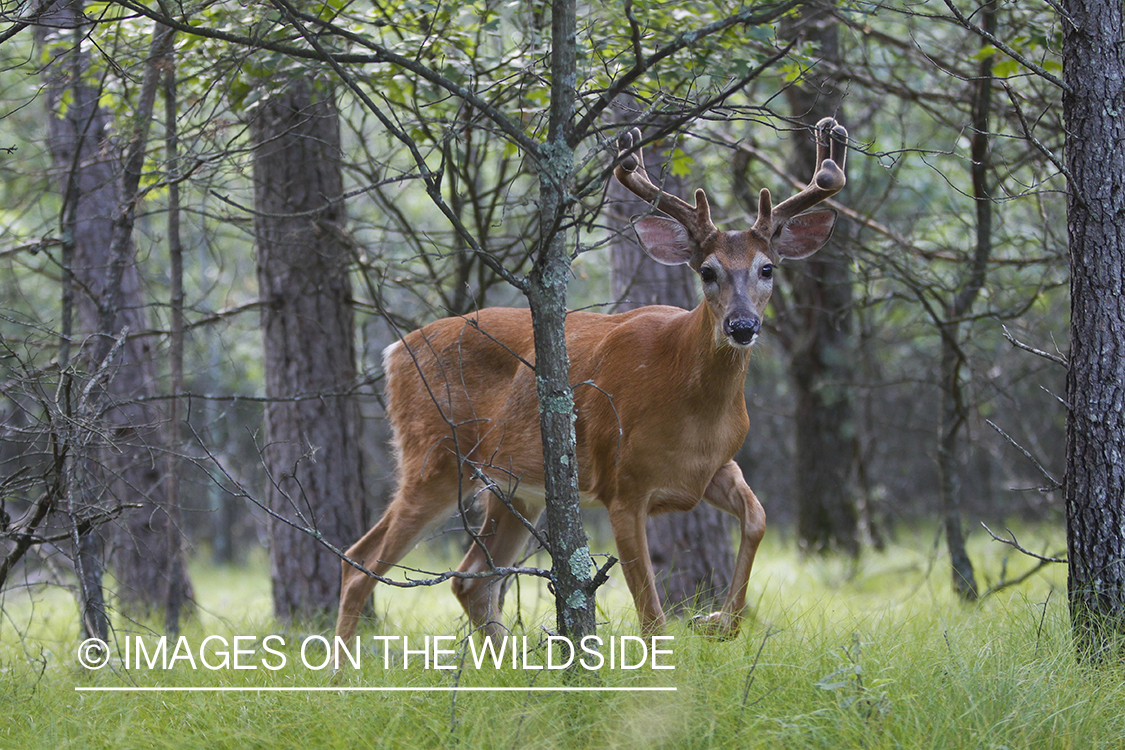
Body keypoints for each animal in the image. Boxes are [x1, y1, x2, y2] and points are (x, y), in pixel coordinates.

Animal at [333, 115, 846, 638]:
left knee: (469, 578)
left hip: (515, 487)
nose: (742, 326)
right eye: (707, 271)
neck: (690, 399)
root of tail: (396, 351)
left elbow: (757, 517)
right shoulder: (623, 484)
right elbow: (651, 612)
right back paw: (342, 659)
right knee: (361, 562)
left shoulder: (714, 468)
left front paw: (719, 619)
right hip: (434, 453)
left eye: (767, 268)